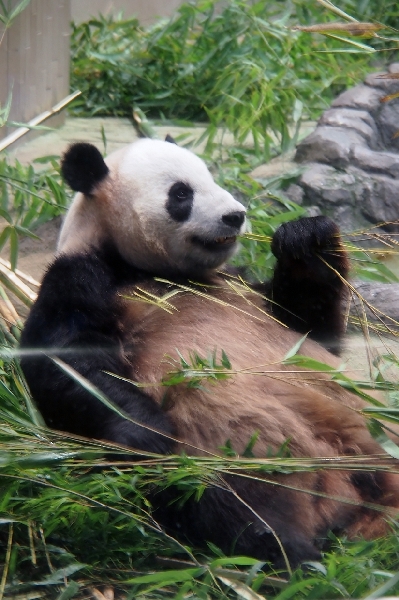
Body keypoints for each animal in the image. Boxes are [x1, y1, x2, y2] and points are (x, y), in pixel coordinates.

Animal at [20, 137, 399, 568]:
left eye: (211, 177)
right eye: (181, 193)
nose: (235, 216)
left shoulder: (235, 283)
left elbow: (310, 327)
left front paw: (306, 237)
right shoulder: (80, 278)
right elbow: (65, 362)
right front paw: (146, 434)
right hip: (231, 458)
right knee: (231, 506)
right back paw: (291, 556)